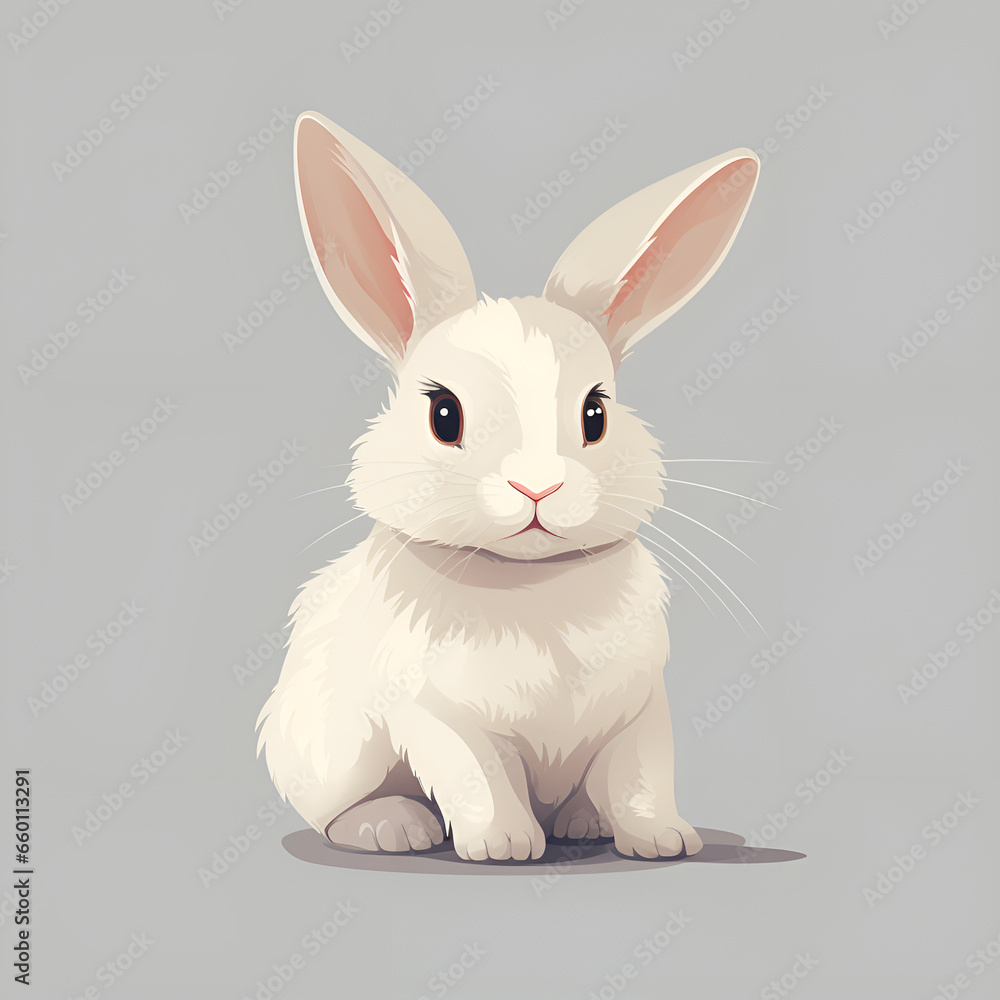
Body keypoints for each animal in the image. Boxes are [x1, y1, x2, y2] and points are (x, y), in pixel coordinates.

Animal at [256, 111, 759, 862]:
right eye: (444, 414)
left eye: (595, 414)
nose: (539, 487)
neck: (532, 582)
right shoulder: (439, 717)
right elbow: (481, 779)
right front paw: (504, 848)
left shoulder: (640, 711)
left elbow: (641, 777)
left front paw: (666, 840)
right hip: (330, 753)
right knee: (335, 810)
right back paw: (392, 829)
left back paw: (582, 824)